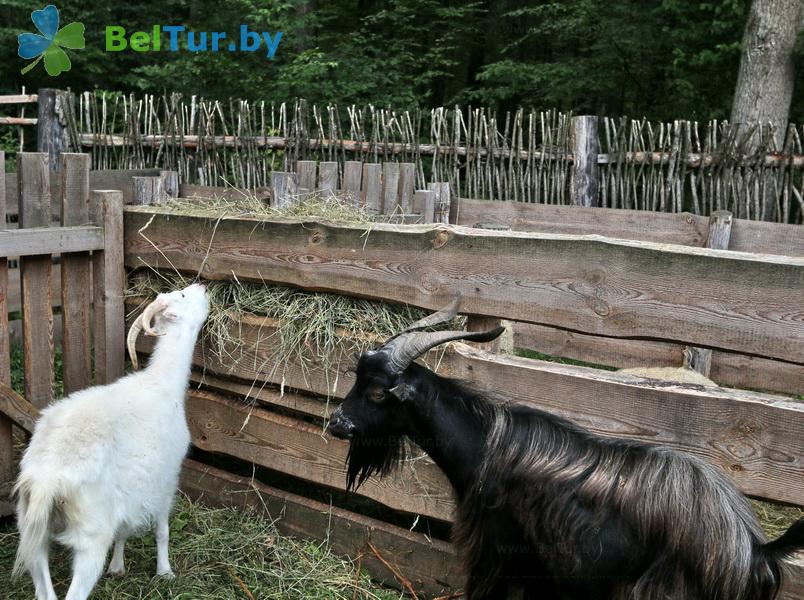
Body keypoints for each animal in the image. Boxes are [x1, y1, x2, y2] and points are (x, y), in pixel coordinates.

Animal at [14, 282, 209, 600]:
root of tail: (47, 478)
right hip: (90, 536)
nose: (202, 286)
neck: (162, 384)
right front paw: (165, 572)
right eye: (182, 295)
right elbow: (162, 530)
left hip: (32, 529)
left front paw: (117, 567)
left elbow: (124, 529)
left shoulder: (128, 491)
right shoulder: (167, 477)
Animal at [326, 298, 804, 600]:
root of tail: (755, 550)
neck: (485, 446)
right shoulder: (545, 569)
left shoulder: (501, 552)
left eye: (377, 393)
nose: (336, 423)